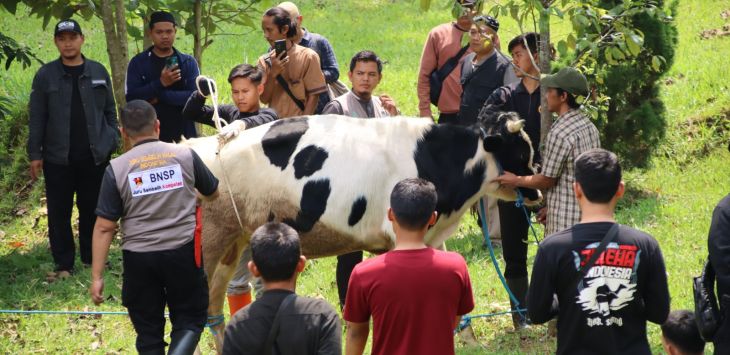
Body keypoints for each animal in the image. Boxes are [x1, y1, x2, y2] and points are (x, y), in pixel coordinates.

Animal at [180, 114, 536, 350]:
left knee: (214, 310)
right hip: (207, 244)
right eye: (521, 153)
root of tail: (201, 143)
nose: (536, 189)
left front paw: (467, 337)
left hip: (232, 242)